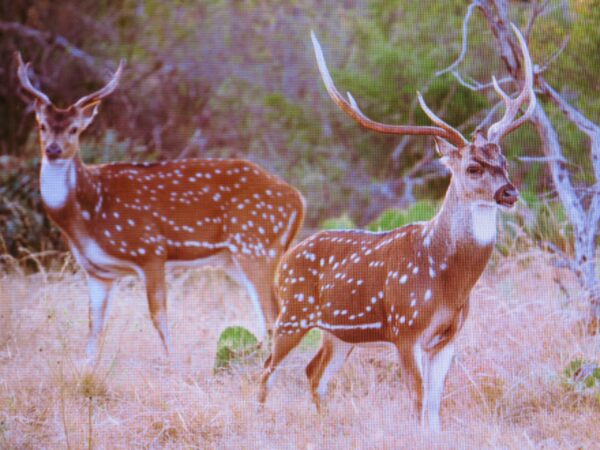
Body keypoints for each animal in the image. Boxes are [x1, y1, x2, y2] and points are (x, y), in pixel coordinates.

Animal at [15, 53, 304, 362]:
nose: (53, 149)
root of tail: (298, 199)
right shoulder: (97, 271)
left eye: (75, 129)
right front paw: (87, 365)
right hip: (235, 258)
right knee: (270, 316)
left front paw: (171, 362)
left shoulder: (150, 250)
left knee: (275, 315)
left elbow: (158, 316)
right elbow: (94, 326)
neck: (86, 216)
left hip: (257, 245)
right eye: (42, 125)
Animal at [258, 25, 536, 432]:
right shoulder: (407, 328)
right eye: (472, 167)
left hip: (339, 333)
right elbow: (418, 401)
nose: (509, 192)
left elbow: (434, 407)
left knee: (314, 373)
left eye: (503, 161)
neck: (447, 279)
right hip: (293, 311)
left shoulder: (447, 337)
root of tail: (283, 260)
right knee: (266, 370)